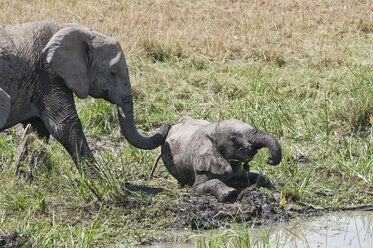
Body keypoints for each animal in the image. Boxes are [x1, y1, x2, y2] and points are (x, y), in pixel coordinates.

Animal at [0, 20, 169, 175]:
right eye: (112, 73)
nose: (166, 124)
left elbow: (38, 130)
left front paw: (23, 179)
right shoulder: (47, 74)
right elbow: (64, 125)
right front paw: (101, 183)